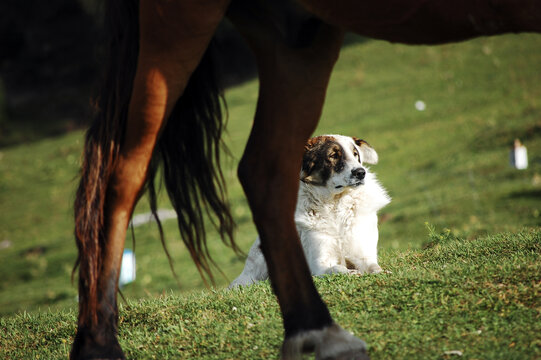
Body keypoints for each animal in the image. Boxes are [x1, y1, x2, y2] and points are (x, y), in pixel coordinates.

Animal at [230, 134, 390, 288]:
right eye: (333, 155)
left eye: (356, 154)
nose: (360, 172)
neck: (336, 205)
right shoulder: (320, 263)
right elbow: (337, 268)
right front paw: (351, 272)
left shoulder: (363, 254)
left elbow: (374, 266)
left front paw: (381, 272)